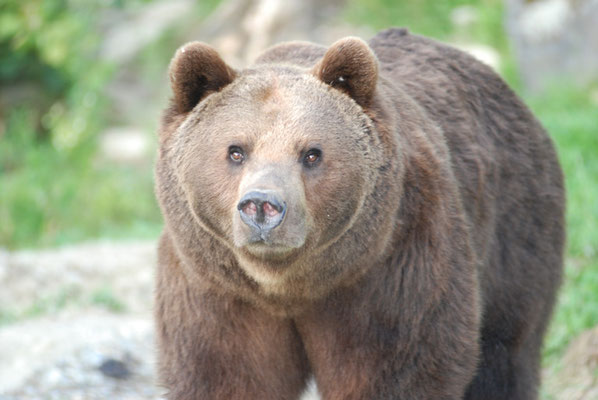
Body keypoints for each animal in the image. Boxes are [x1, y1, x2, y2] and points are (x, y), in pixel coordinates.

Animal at [155, 28, 568, 400]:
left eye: (312, 153)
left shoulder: (393, 270)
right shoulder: (216, 289)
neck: (287, 287)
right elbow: (227, 375)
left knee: (505, 352)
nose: (262, 206)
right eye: (236, 150)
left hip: (515, 231)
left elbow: (400, 367)